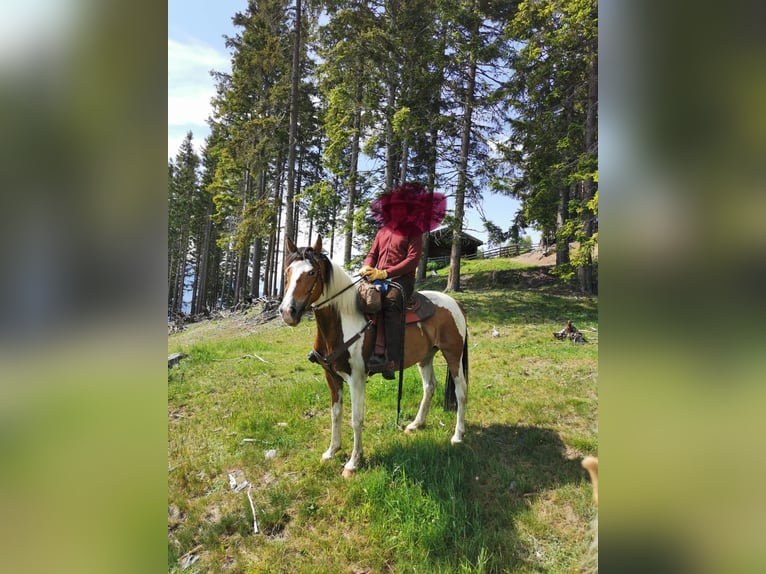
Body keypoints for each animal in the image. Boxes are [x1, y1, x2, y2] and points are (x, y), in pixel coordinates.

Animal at [278, 236, 469, 478]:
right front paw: (332, 451)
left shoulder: (356, 379)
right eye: (288, 271)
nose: (288, 312)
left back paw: (458, 435)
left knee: (461, 391)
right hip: (425, 357)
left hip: (453, 354)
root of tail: (455, 304)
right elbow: (335, 413)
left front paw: (353, 462)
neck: (343, 321)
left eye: (311, 272)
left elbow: (356, 419)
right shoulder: (331, 376)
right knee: (430, 386)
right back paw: (416, 424)